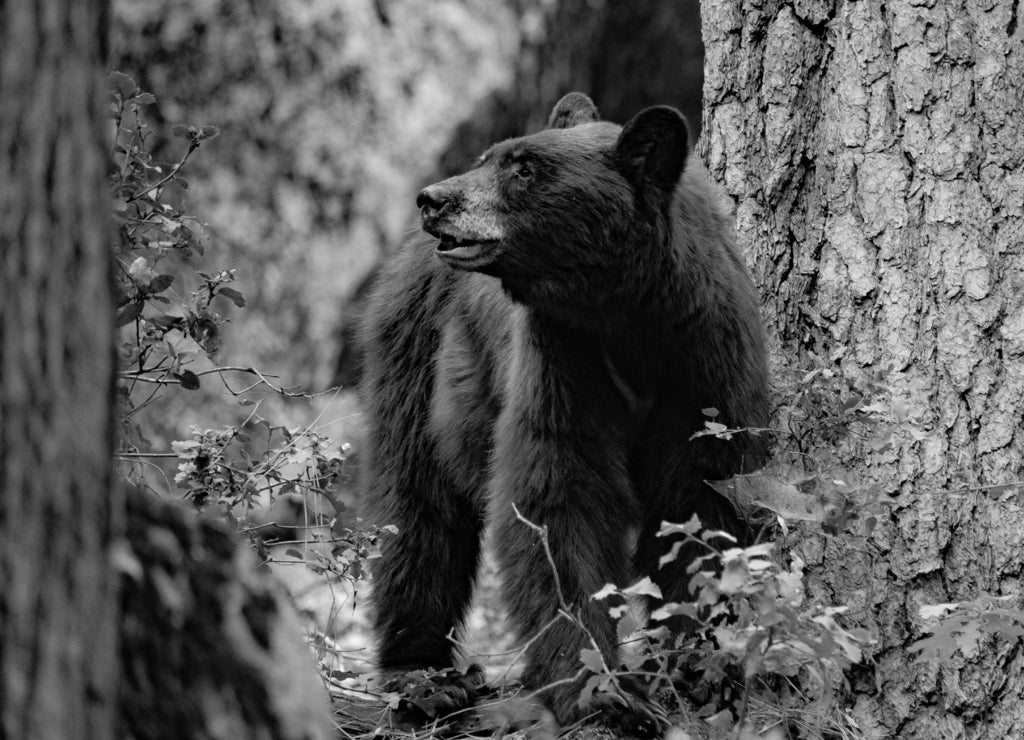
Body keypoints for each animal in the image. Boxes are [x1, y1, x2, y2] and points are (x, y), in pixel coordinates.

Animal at [360, 92, 770, 725]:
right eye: (488, 157)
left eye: (524, 169)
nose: (433, 199)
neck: (626, 314)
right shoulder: (562, 357)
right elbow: (557, 494)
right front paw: (599, 689)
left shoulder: (706, 360)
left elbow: (701, 496)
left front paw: (700, 664)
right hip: (416, 354)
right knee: (415, 507)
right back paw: (424, 677)